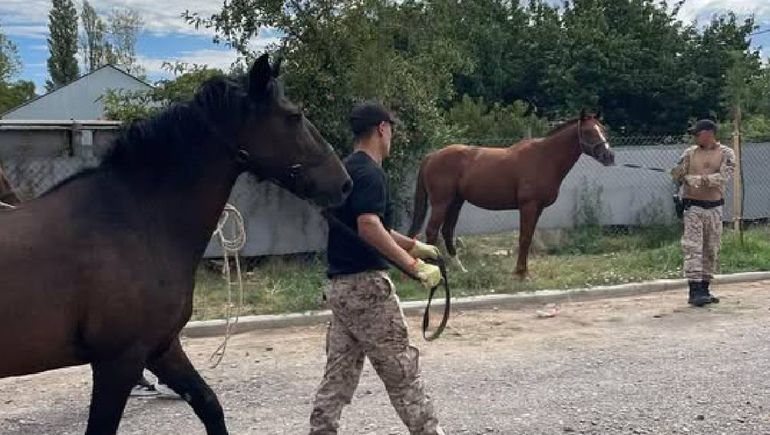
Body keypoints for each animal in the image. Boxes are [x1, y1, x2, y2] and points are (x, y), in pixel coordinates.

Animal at [0, 55, 352, 435]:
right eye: (294, 116)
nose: (344, 183)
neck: (135, 220)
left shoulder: (162, 348)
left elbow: (209, 404)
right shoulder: (119, 361)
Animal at [408, 110, 612, 278]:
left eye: (602, 129)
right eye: (588, 131)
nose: (609, 156)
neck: (544, 158)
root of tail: (432, 156)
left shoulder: (537, 208)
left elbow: (528, 237)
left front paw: (523, 271)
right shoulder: (528, 206)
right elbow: (524, 238)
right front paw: (521, 273)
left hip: (456, 202)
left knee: (447, 231)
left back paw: (460, 269)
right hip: (441, 203)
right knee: (432, 232)